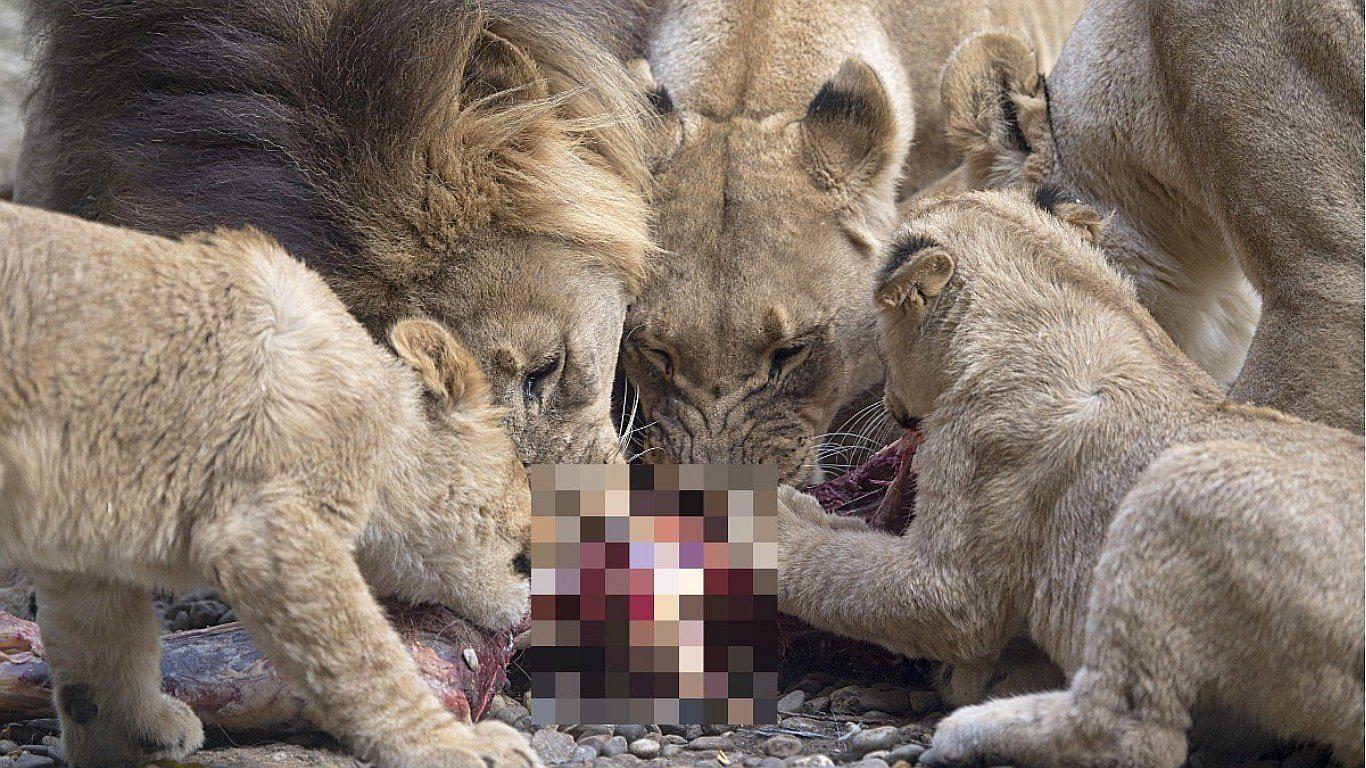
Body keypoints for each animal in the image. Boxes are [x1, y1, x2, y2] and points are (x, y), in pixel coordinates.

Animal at [0, 201, 538, 768]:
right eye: (522, 555)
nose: (524, 615)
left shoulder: (83, 533)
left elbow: (103, 643)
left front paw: (135, 734)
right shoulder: (270, 526)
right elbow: (363, 653)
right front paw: (455, 745)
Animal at [776, 187, 1365, 767]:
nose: (891, 408)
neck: (1072, 296)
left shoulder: (955, 567)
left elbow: (857, 572)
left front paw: (776, 522)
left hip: (1175, 488)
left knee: (1134, 735)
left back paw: (973, 732)